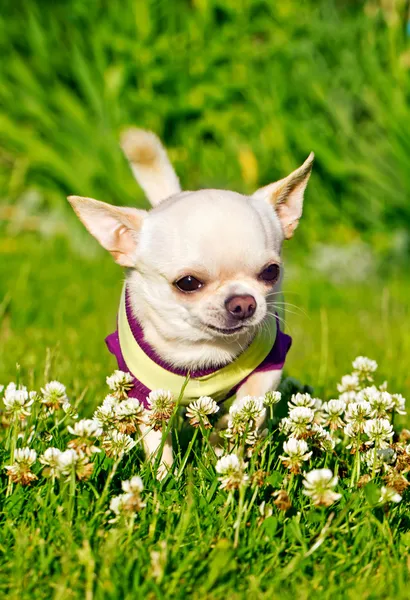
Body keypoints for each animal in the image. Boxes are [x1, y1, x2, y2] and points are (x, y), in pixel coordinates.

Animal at [68, 129, 314, 476]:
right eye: (187, 283)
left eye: (271, 272)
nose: (243, 303)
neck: (203, 347)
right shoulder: (146, 395)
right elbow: (157, 441)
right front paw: (162, 478)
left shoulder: (269, 364)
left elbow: (246, 408)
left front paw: (226, 441)